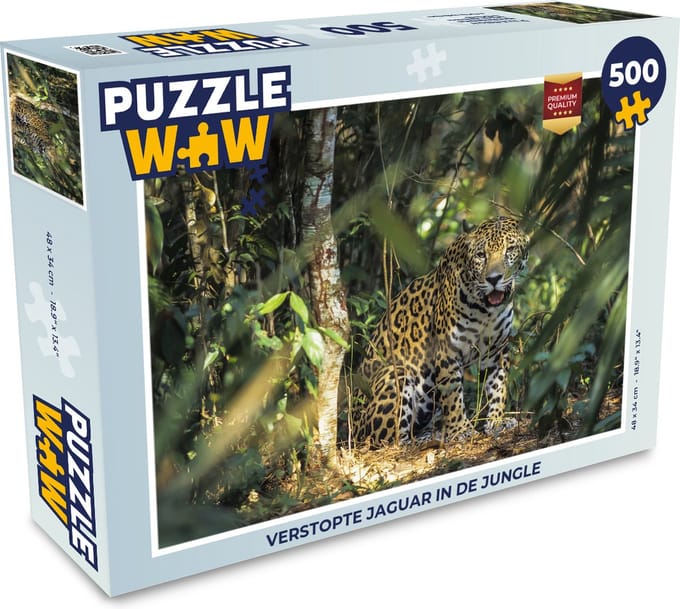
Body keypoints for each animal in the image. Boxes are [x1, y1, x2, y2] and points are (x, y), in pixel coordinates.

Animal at [351, 216, 529, 446]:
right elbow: (453, 395)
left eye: (510, 250)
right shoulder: (447, 352)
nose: (494, 279)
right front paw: (461, 430)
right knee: (392, 441)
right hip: (396, 373)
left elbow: (498, 387)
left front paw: (497, 421)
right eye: (481, 255)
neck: (485, 310)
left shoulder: (496, 351)